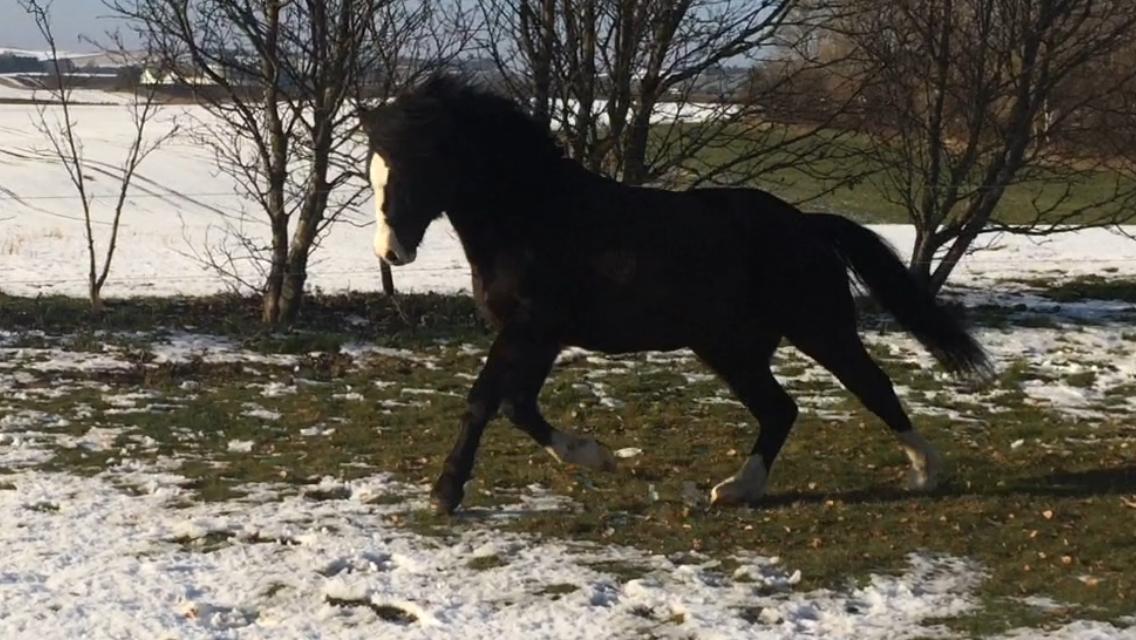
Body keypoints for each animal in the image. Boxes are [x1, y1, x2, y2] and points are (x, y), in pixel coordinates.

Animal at [359, 75, 991, 515]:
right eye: (374, 172)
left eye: (412, 168)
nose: (391, 253)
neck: (533, 216)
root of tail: (807, 225)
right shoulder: (538, 336)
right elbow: (519, 406)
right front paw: (598, 458)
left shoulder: (530, 328)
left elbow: (483, 402)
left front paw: (445, 494)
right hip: (730, 348)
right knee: (780, 409)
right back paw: (736, 490)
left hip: (819, 328)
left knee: (870, 386)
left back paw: (924, 471)